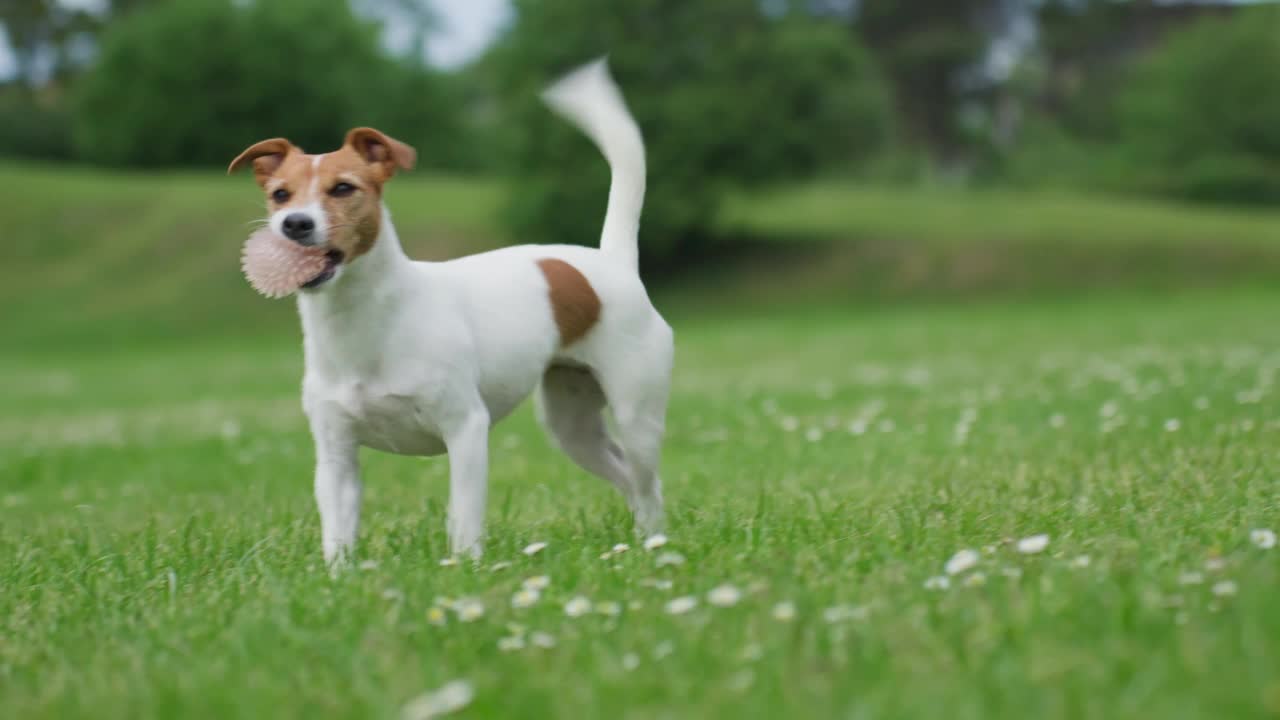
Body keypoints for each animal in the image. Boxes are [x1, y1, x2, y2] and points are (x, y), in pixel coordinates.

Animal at [226, 57, 675, 561]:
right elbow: (338, 537)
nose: (294, 224)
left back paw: (655, 544)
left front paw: (464, 566)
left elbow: (463, 519)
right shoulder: (336, 456)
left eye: (343, 188)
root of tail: (612, 261)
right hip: (573, 427)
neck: (365, 324)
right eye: (280, 195)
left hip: (637, 415)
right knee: (627, 479)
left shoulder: (466, 430)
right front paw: (339, 575)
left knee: (647, 484)